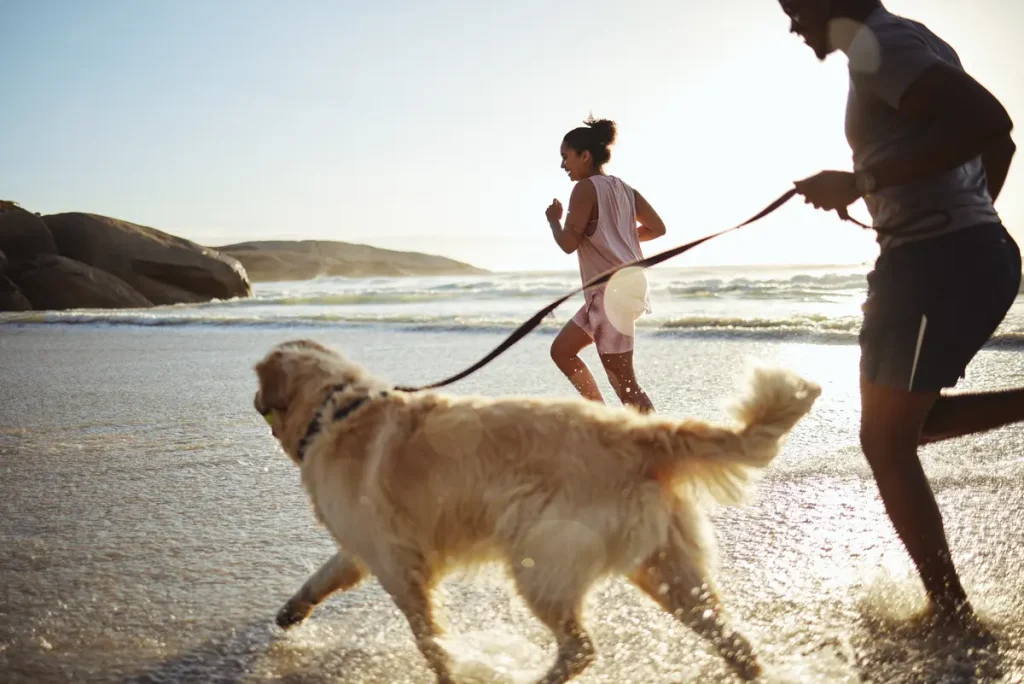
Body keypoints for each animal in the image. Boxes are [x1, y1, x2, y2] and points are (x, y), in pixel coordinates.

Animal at [251, 339, 819, 679]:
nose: (253, 402)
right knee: (731, 637)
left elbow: (430, 640)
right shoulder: (365, 545)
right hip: (666, 567)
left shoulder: (397, 565)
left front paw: (448, 671)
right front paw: (290, 610)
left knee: (580, 647)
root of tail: (636, 433)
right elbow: (324, 575)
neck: (336, 409)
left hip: (537, 558)